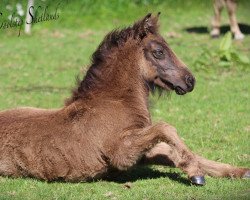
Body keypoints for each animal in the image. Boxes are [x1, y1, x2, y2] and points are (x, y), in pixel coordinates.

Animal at [0, 13, 249, 186]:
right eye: (159, 52)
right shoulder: (121, 153)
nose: (190, 81)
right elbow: (166, 129)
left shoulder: (142, 148)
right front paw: (195, 173)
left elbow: (172, 149)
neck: (114, 102)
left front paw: (238, 171)